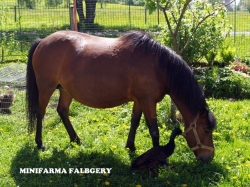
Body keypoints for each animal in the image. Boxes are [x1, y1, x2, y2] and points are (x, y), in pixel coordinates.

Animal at [25, 30, 217, 162]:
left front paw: (130, 146)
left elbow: (135, 122)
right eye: (206, 130)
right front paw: (158, 159)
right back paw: (40, 143)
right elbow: (154, 131)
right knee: (41, 112)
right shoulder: (148, 102)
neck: (160, 66)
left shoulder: (140, 101)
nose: (208, 157)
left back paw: (76, 140)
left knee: (62, 111)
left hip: (65, 90)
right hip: (46, 88)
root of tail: (42, 41)